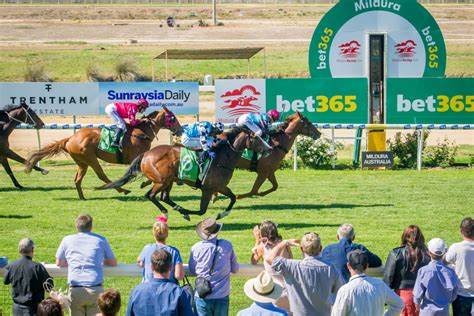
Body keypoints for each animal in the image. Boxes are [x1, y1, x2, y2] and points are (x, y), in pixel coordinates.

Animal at [25, 107, 183, 199]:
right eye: (173, 117)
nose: (180, 130)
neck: (142, 132)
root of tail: (70, 138)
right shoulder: (137, 158)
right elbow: (142, 174)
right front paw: (145, 183)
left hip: (82, 162)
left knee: (77, 179)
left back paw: (82, 197)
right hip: (90, 158)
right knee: (101, 175)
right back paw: (123, 190)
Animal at [98, 127, 268, 221]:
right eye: (256, 138)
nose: (269, 148)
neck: (222, 157)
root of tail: (146, 154)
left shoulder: (219, 186)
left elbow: (233, 198)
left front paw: (222, 214)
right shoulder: (208, 188)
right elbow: (202, 210)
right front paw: (187, 212)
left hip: (169, 180)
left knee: (164, 197)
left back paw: (177, 209)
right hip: (161, 180)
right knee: (151, 195)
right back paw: (168, 212)